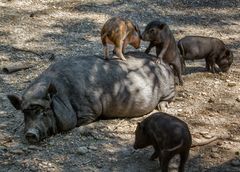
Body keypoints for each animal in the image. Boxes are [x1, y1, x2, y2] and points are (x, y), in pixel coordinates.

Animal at [7, 51, 175, 143]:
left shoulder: (89, 110)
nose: (30, 134)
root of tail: (166, 64)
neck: (63, 95)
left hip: (168, 87)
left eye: (45, 111)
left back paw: (162, 107)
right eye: (25, 113)